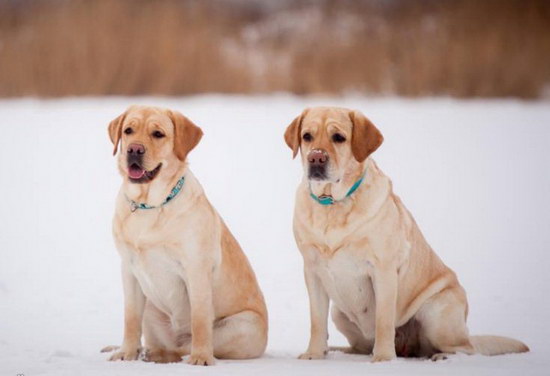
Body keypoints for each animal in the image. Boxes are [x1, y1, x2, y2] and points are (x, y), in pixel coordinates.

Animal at [103, 105, 270, 364]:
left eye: (158, 134)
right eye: (128, 131)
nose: (134, 149)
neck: (150, 205)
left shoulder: (196, 268)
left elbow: (199, 320)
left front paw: (201, 358)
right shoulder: (129, 269)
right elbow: (130, 319)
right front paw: (126, 353)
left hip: (243, 325)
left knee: (187, 346)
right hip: (151, 309)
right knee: (163, 343)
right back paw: (148, 353)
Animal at [284, 106, 532, 362]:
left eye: (339, 137)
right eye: (307, 136)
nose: (316, 158)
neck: (333, 204)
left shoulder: (383, 270)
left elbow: (384, 321)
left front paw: (384, 358)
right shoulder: (313, 271)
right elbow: (316, 321)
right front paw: (314, 354)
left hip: (436, 313)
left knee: (465, 348)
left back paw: (440, 357)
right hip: (339, 313)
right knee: (361, 345)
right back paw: (338, 350)